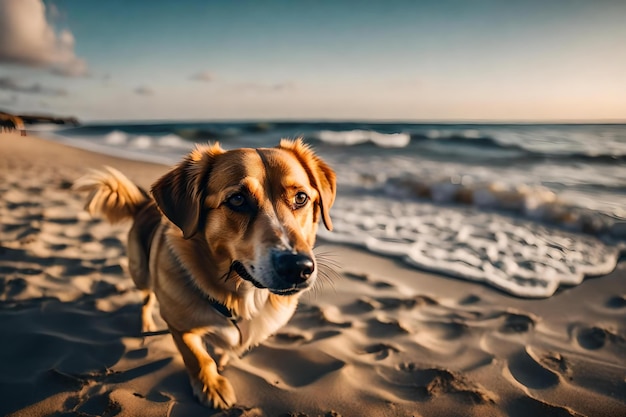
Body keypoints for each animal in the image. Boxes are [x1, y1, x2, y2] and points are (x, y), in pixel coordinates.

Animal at [72, 139, 332, 406]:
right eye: (237, 199)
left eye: (301, 197)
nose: (298, 267)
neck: (240, 296)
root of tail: (145, 205)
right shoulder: (179, 326)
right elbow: (198, 358)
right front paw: (212, 387)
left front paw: (223, 363)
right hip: (141, 273)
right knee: (146, 299)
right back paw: (146, 326)